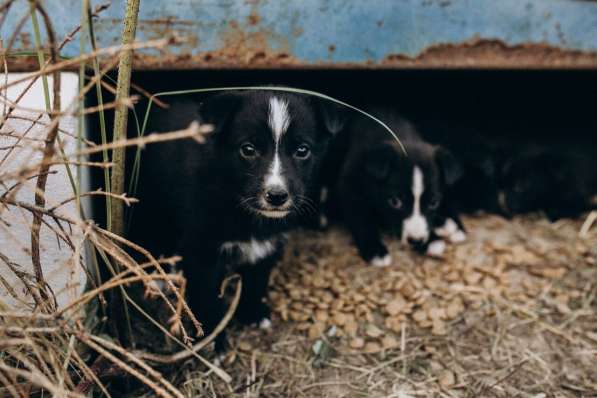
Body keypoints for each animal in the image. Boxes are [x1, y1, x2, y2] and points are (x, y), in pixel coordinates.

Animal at [130, 90, 344, 352]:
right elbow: (207, 296)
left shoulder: (269, 243)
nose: (276, 196)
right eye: (248, 149)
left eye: (302, 150)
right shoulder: (202, 249)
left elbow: (257, 278)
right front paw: (213, 340)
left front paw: (252, 313)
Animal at [330, 109, 466, 264]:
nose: (416, 241)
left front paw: (430, 239)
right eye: (395, 202)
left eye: (433, 202)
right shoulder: (348, 187)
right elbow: (361, 219)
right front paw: (375, 250)